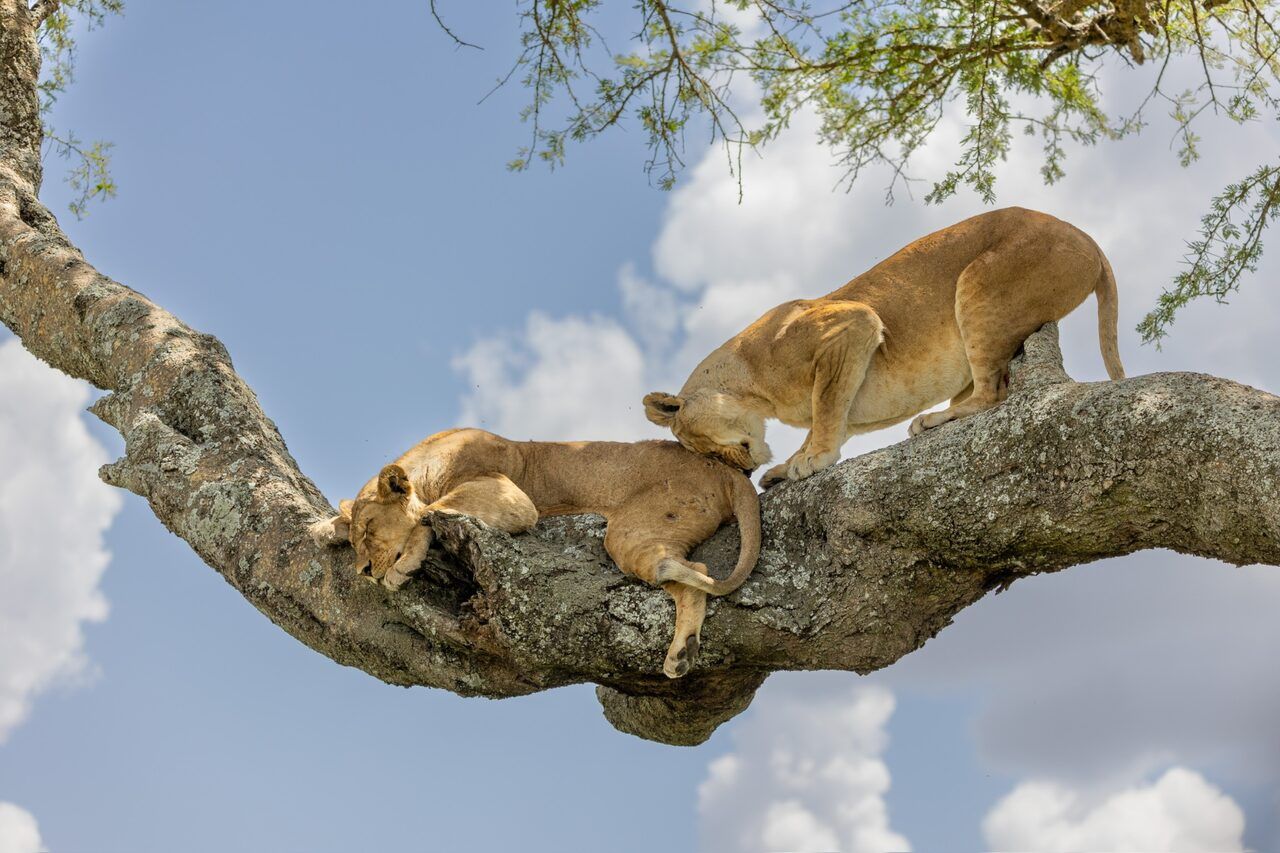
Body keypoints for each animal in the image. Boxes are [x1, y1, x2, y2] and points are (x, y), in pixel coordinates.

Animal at [309, 428, 760, 678]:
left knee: (691, 565)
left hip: (629, 528)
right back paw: (682, 655)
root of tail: (725, 471)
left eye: (371, 529)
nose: (364, 570)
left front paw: (403, 564)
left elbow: (429, 513)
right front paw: (327, 527)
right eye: (358, 541)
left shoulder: (512, 499)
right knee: (687, 572)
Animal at [643, 207, 1125, 487]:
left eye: (703, 445)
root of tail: (1090, 240)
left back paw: (935, 419)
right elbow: (829, 416)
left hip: (980, 284)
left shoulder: (853, 325)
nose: (743, 473)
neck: (747, 385)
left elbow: (826, 407)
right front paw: (789, 465)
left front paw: (813, 459)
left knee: (992, 393)